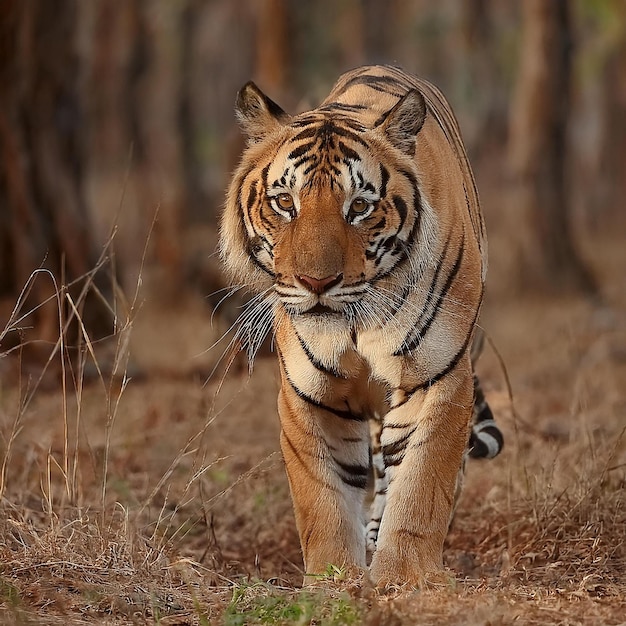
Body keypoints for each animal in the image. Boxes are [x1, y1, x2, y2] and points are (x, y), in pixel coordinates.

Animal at [219, 63, 502, 584]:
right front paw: (333, 581)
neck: (355, 325)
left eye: (360, 207)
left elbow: (422, 481)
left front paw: (404, 577)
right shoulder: (311, 394)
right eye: (285, 202)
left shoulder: (437, 379)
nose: (316, 282)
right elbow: (323, 498)